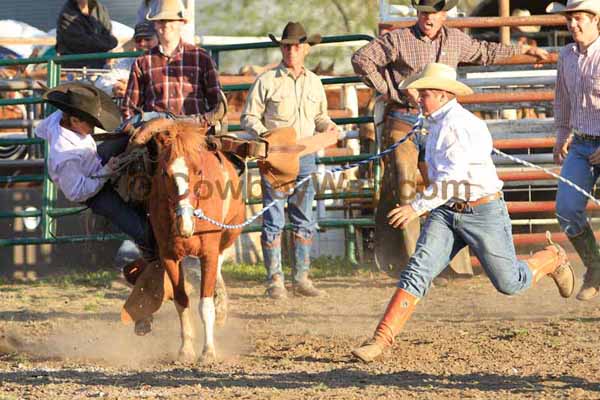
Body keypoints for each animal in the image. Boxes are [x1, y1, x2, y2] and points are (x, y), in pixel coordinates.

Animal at [129, 119, 244, 362]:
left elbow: (205, 304)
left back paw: (221, 306)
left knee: (220, 264)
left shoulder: (208, 253)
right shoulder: (169, 257)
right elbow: (182, 301)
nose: (185, 223)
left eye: (198, 170)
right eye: (165, 173)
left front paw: (208, 351)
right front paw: (186, 349)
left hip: (230, 234)